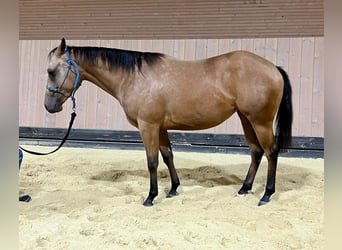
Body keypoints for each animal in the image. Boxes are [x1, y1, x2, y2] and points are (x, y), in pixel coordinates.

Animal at [44, 38, 292, 207]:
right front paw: (173, 189)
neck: (134, 77)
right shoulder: (160, 127)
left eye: (51, 71)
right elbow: (167, 156)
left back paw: (266, 194)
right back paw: (243, 189)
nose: (49, 106)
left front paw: (151, 197)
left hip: (260, 121)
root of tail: (274, 68)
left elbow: (152, 162)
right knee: (256, 151)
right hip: (245, 118)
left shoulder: (148, 126)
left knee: (271, 152)